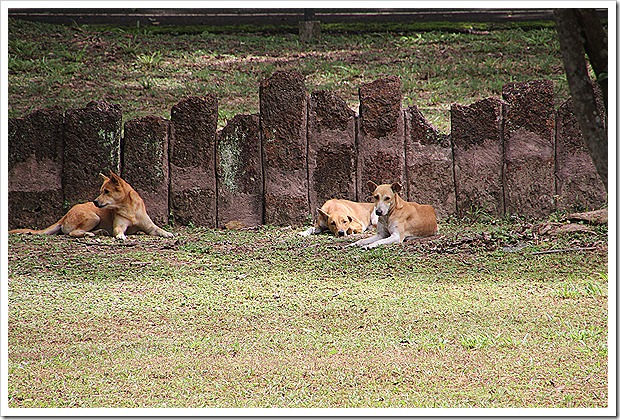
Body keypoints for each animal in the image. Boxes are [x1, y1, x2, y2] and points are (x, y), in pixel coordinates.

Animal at [9, 171, 173, 241]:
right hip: (93, 217)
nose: (95, 201)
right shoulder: (118, 225)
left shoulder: (149, 227)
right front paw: (121, 236)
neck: (129, 208)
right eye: (101, 191)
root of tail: (65, 215)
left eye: (106, 191)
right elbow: (119, 230)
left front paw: (168, 233)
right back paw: (90, 234)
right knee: (72, 233)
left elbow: (159, 229)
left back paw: (99, 232)